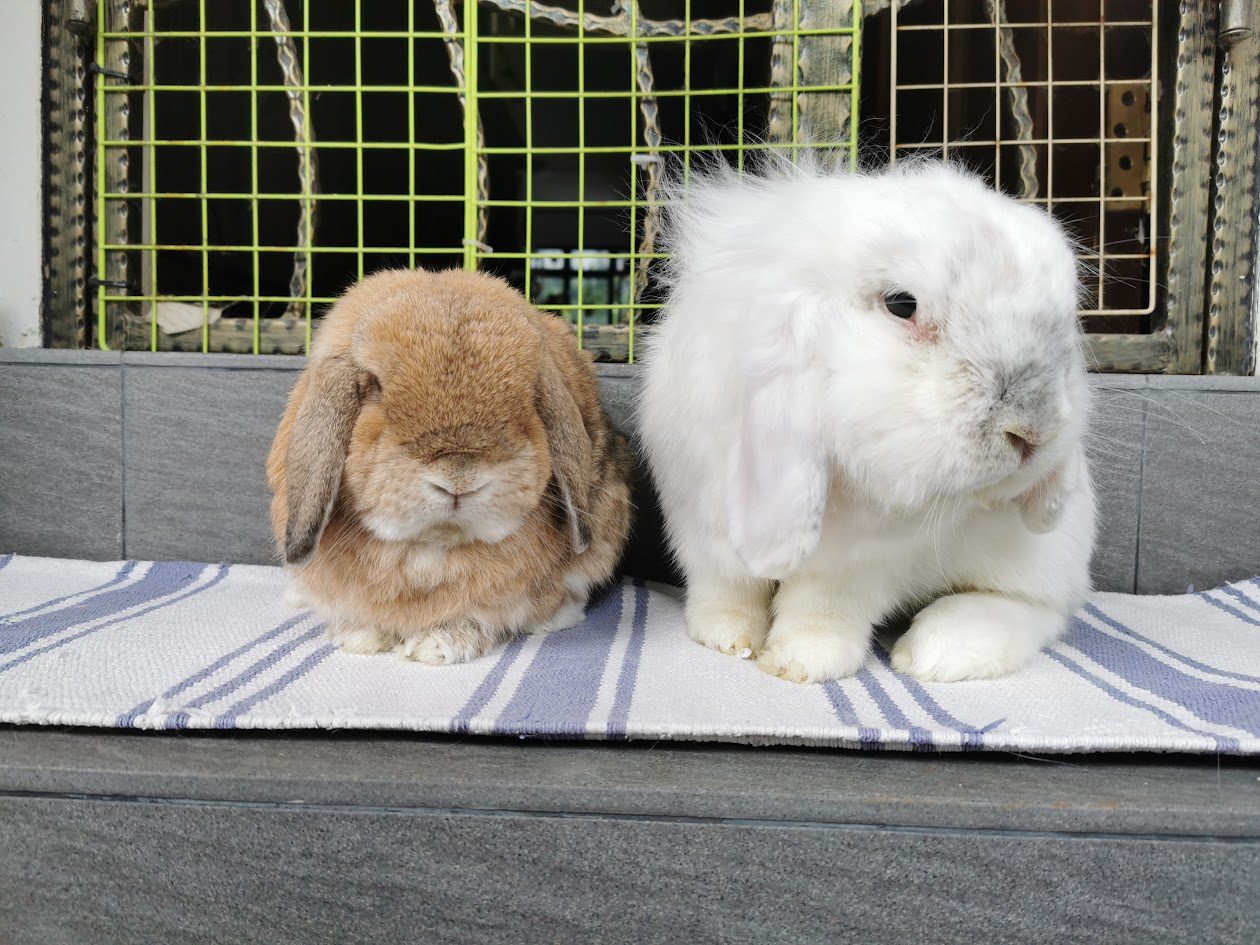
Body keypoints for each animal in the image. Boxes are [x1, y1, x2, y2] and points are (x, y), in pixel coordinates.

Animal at [266, 268, 633, 665]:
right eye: (374, 386)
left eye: (528, 396)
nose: (459, 479)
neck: (430, 548)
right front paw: (360, 637)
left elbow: (481, 616)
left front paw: (436, 645)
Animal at [638, 159, 1096, 684]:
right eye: (901, 304)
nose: (1033, 433)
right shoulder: (701, 527)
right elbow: (727, 588)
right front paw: (728, 639)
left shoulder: (859, 566)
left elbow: (821, 609)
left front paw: (801, 661)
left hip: (1040, 562)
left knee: (1040, 609)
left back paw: (938, 652)